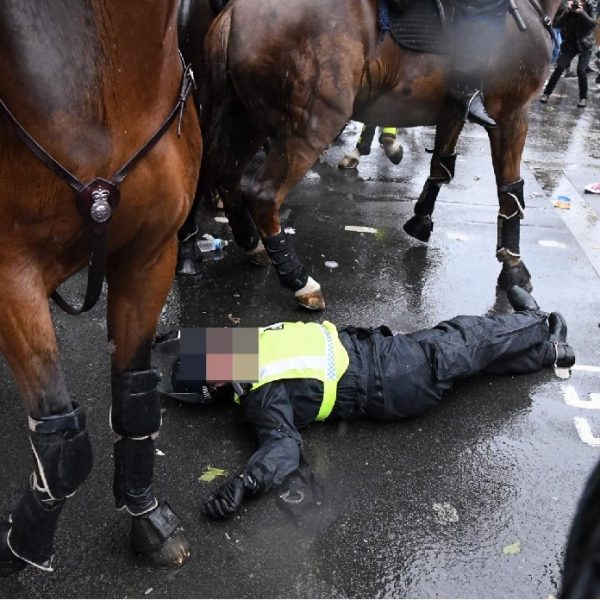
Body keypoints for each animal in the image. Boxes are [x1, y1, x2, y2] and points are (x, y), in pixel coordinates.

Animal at [0, 1, 202, 576]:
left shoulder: (150, 255)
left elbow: (135, 399)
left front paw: (146, 516)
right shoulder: (11, 273)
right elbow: (62, 440)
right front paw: (21, 545)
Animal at [195, 0, 560, 310]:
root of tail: (236, 11)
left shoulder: (453, 113)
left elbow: (441, 168)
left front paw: (420, 219)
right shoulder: (512, 114)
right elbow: (509, 192)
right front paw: (513, 267)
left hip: (248, 119)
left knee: (228, 175)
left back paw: (252, 245)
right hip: (311, 124)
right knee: (263, 194)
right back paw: (299, 280)